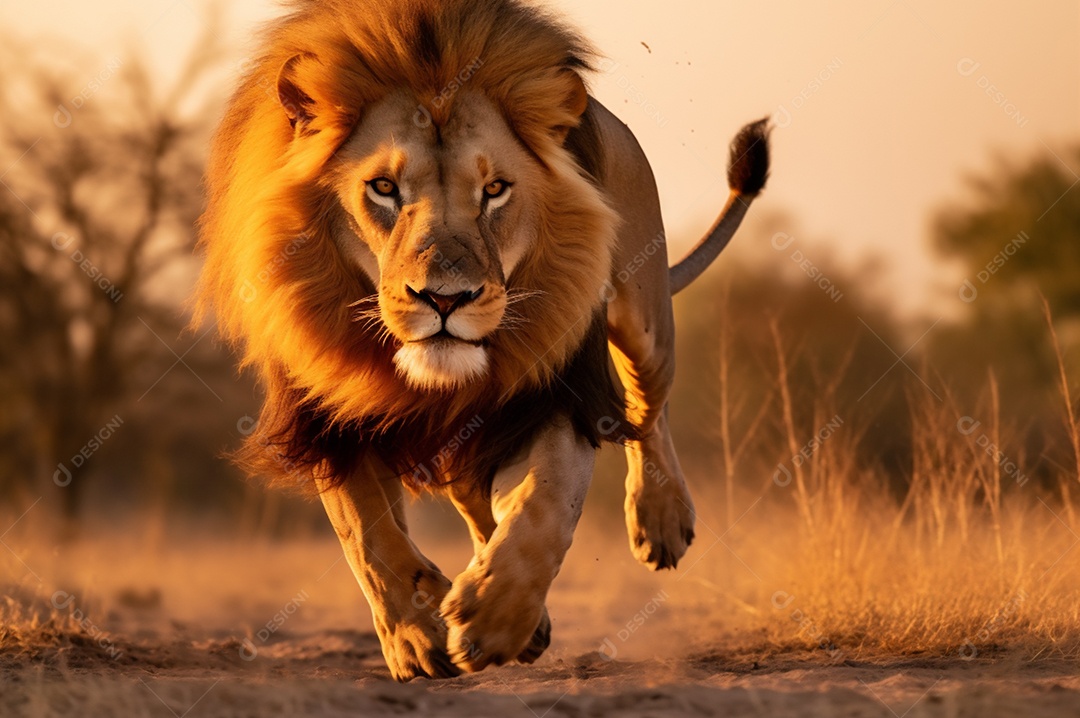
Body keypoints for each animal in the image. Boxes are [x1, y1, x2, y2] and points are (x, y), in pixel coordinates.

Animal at [197, 0, 769, 681]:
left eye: (495, 190)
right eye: (384, 188)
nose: (446, 299)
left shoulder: (558, 392)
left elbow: (546, 503)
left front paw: (495, 617)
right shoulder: (325, 415)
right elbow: (368, 536)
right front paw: (418, 637)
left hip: (644, 316)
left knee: (646, 408)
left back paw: (660, 520)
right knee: (472, 498)